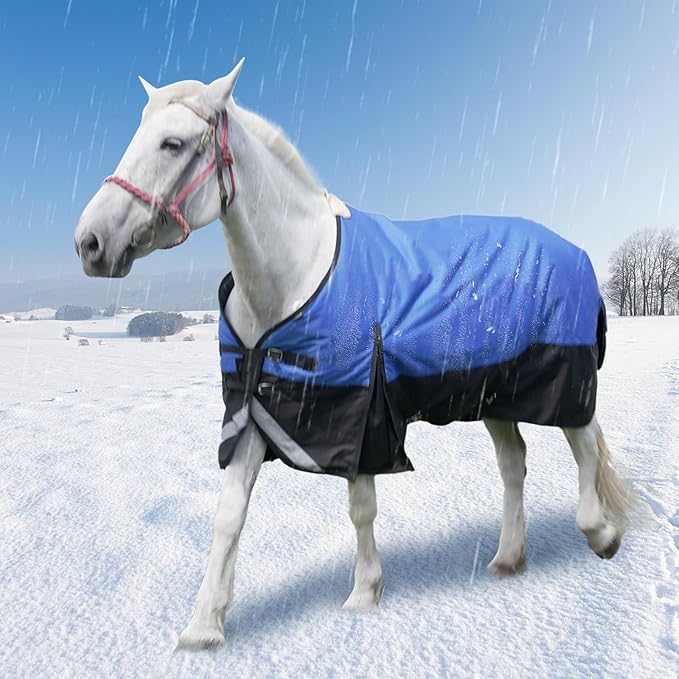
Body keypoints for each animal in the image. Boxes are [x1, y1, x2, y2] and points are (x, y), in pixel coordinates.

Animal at [73, 59, 632, 650]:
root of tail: (575, 249)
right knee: (514, 462)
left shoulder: (359, 415)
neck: (294, 278)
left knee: (586, 444)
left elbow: (361, 509)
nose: (90, 242)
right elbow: (229, 515)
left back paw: (600, 534)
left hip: (564, 379)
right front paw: (203, 627)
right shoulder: (254, 411)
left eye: (173, 144)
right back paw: (507, 559)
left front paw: (364, 594)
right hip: (492, 392)